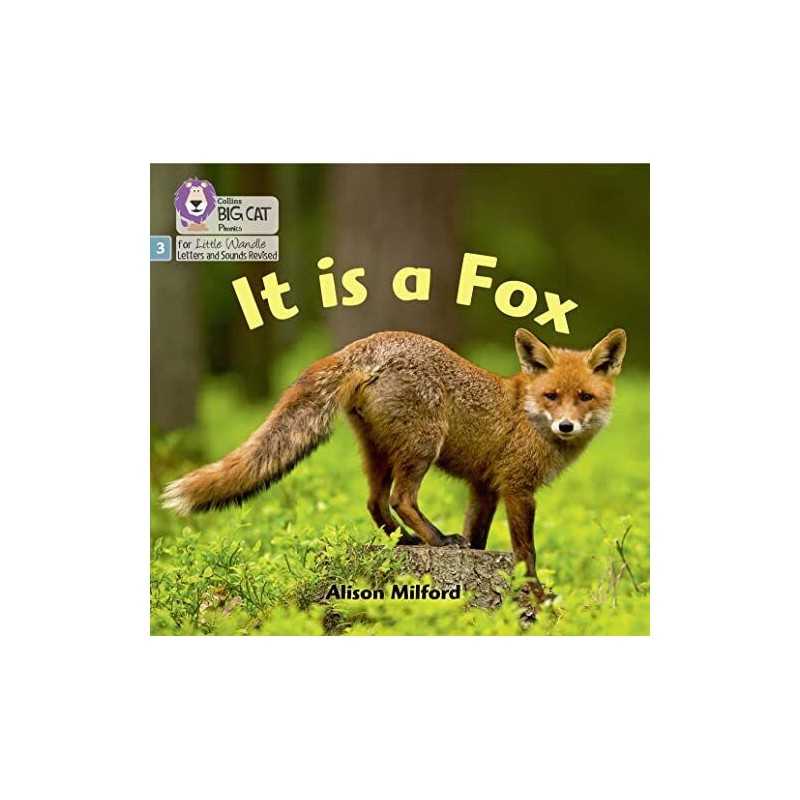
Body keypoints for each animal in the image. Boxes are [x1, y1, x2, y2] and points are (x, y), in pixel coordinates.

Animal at [162, 328, 626, 592]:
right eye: (552, 396)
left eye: (584, 397)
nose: (566, 425)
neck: (526, 413)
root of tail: (367, 343)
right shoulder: (517, 487)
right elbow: (526, 552)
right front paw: (537, 596)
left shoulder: (484, 488)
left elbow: (478, 536)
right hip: (422, 446)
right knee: (402, 498)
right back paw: (436, 540)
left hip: (378, 452)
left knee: (375, 503)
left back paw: (405, 541)